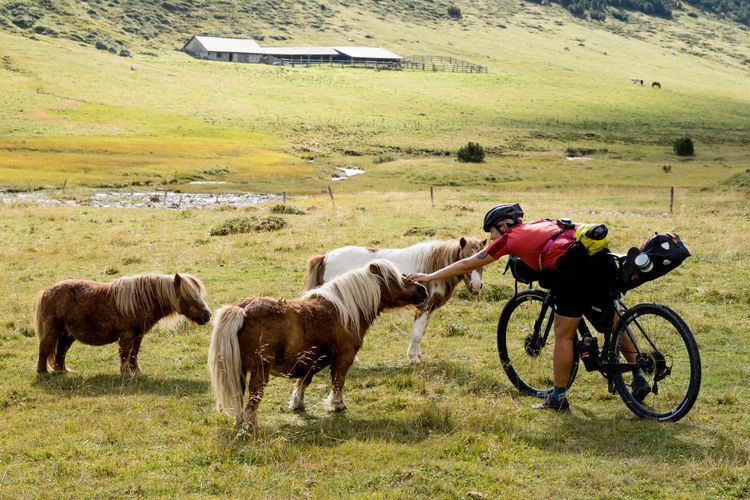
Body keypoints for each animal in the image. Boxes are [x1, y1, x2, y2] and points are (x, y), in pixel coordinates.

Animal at [35, 274, 212, 376]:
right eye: (189, 296)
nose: (207, 315)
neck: (140, 300)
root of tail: (46, 292)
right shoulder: (126, 335)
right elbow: (125, 354)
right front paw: (126, 373)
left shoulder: (138, 336)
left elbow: (134, 353)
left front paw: (136, 371)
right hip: (52, 331)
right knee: (45, 349)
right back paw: (43, 372)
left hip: (67, 335)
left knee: (61, 351)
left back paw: (62, 370)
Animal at [209, 260, 428, 428]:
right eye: (394, 279)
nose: (423, 290)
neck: (346, 311)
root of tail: (242, 309)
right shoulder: (343, 358)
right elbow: (338, 382)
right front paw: (337, 405)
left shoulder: (311, 361)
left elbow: (303, 382)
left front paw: (297, 403)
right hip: (260, 370)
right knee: (254, 396)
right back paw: (250, 423)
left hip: (238, 370)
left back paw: (240, 420)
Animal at [306, 236, 488, 362]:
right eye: (464, 257)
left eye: (482, 261)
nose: (476, 286)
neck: (433, 270)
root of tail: (324, 257)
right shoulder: (424, 307)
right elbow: (417, 334)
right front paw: (413, 358)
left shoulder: (428, 310)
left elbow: (421, 332)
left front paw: (417, 355)